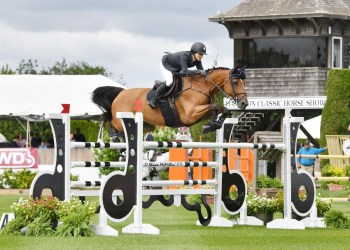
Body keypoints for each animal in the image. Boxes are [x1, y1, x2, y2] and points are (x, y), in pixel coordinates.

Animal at [91, 64, 247, 135]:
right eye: (235, 83)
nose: (244, 103)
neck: (202, 87)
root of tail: (120, 94)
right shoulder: (190, 115)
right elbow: (214, 107)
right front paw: (212, 124)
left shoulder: (200, 115)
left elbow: (223, 109)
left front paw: (213, 125)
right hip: (120, 120)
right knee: (110, 122)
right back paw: (113, 136)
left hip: (147, 125)